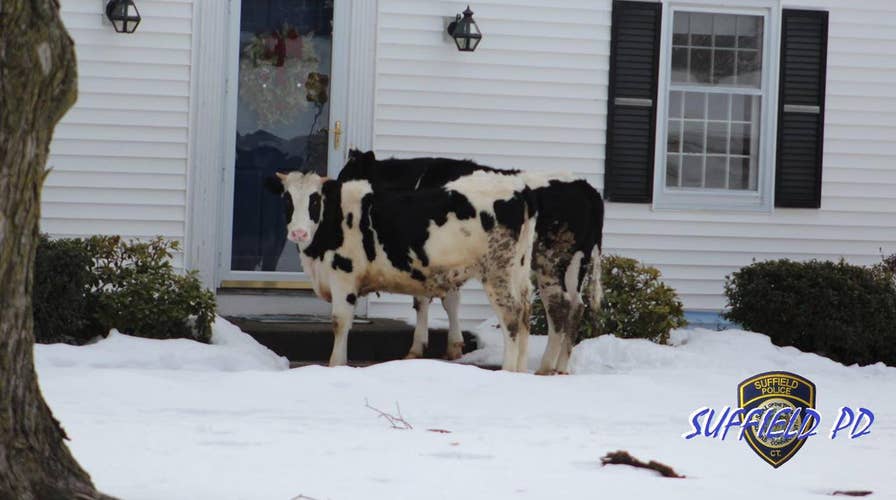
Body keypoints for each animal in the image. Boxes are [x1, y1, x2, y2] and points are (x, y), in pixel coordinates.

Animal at [265, 170, 537, 371]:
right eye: (287, 199)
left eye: (314, 199)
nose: (298, 233)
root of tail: (518, 189)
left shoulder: (343, 276)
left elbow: (340, 322)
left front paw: (336, 365)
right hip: (519, 271)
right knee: (525, 312)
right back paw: (521, 370)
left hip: (498, 273)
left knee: (511, 316)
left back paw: (507, 370)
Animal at [339, 150, 604, 375]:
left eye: (345, 177)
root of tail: (586, 187)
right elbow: (450, 300)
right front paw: (455, 345)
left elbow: (427, 300)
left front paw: (418, 348)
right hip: (576, 263)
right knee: (576, 306)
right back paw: (560, 367)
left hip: (550, 260)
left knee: (558, 305)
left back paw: (546, 367)